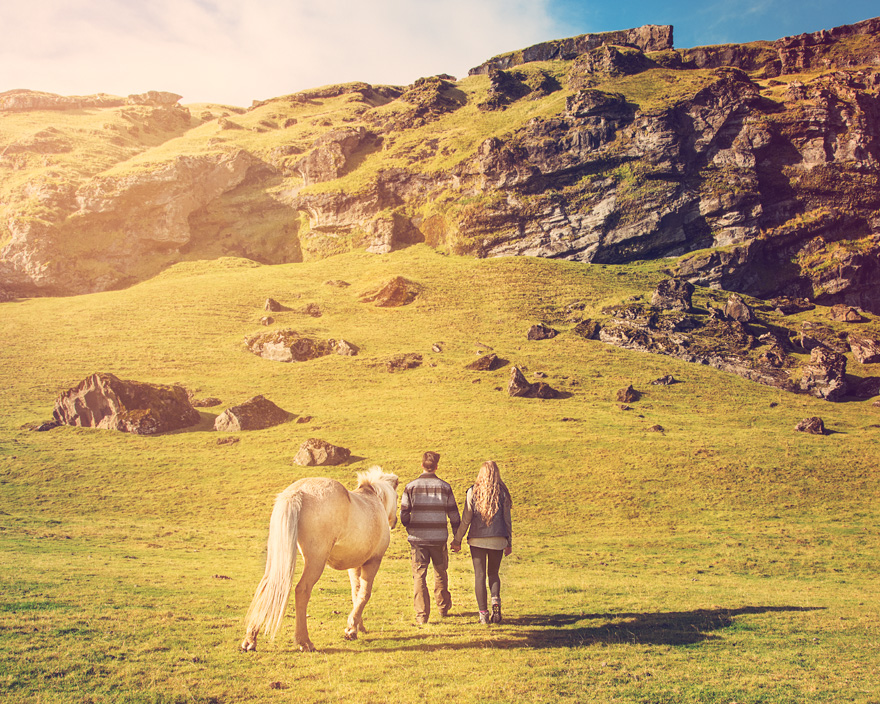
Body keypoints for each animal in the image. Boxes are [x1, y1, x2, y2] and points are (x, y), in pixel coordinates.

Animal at [237, 464, 396, 652]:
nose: (395, 522)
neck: (372, 501)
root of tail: (297, 492)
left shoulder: (354, 566)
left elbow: (355, 594)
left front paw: (356, 627)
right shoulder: (373, 562)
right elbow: (364, 594)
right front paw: (351, 629)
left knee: (266, 586)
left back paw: (250, 639)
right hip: (315, 561)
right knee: (302, 590)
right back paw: (304, 642)